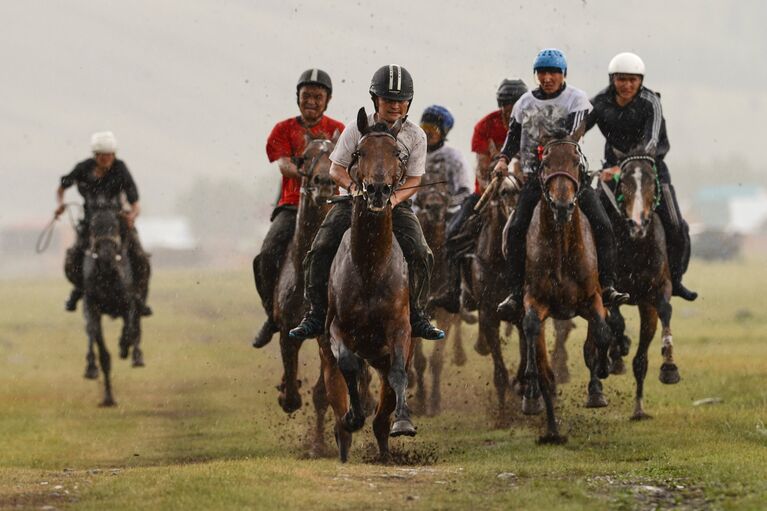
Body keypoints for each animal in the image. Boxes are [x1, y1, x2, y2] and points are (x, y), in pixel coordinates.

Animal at [80, 196, 143, 408]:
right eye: (92, 227)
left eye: (115, 226)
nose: (106, 255)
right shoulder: (93, 309)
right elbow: (103, 353)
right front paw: (108, 398)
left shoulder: (128, 303)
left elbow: (130, 328)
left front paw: (124, 347)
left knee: (136, 324)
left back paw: (135, 355)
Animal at [318, 111, 414, 464]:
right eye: (359, 153)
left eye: (398, 154)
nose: (377, 191)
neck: (370, 267)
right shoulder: (336, 328)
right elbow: (348, 365)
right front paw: (352, 417)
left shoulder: (401, 329)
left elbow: (399, 373)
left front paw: (404, 422)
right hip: (327, 351)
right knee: (338, 382)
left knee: (383, 408)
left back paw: (386, 448)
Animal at [512, 128, 616, 444]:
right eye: (545, 163)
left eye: (577, 163)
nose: (562, 205)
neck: (560, 249)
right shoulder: (534, 301)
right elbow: (532, 329)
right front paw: (532, 385)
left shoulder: (592, 299)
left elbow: (601, 332)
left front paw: (601, 375)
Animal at [604, 150, 680, 422]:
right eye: (624, 182)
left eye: (651, 182)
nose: (638, 224)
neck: (635, 245)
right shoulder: (609, 289)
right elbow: (616, 320)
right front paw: (617, 352)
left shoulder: (656, 292)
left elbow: (665, 310)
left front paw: (669, 367)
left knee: (640, 359)